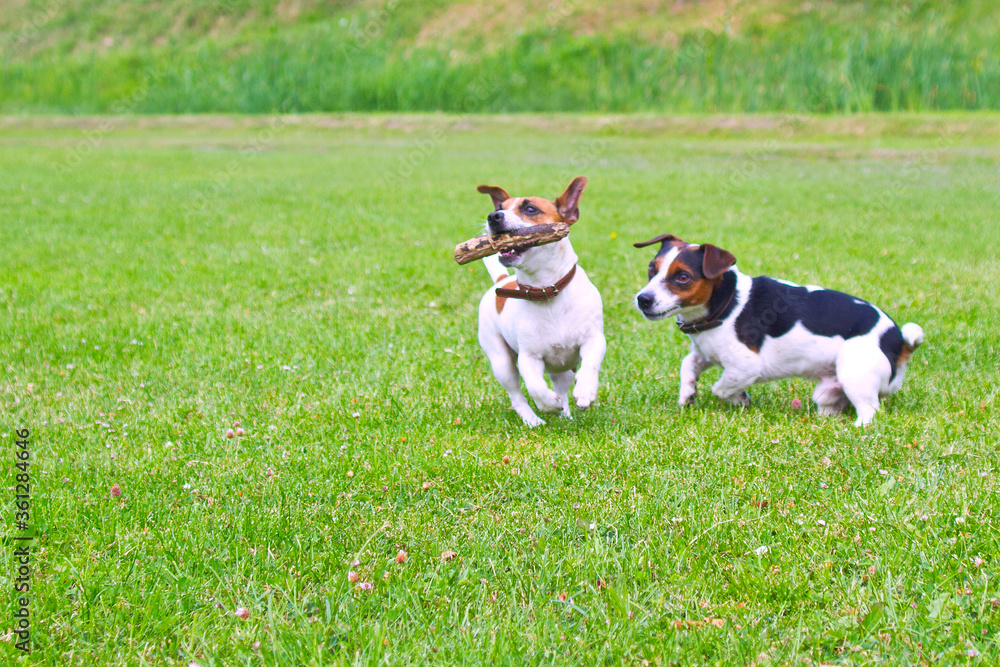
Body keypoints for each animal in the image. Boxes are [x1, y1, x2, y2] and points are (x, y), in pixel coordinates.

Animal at [474, 177, 604, 428]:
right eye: (499, 207)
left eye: (530, 209)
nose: (493, 216)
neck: (546, 291)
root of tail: (502, 279)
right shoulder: (529, 357)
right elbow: (535, 386)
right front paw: (548, 404)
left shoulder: (594, 339)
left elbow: (590, 364)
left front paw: (585, 392)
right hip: (501, 362)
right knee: (517, 396)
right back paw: (534, 419)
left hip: (562, 368)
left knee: (562, 386)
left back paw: (565, 414)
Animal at [632, 235, 920, 426]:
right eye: (651, 270)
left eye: (683, 277)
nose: (642, 299)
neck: (727, 303)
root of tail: (898, 341)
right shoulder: (706, 352)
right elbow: (687, 364)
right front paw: (688, 393)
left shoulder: (745, 365)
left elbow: (720, 388)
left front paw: (739, 399)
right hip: (828, 390)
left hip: (855, 374)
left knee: (870, 411)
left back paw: (858, 427)